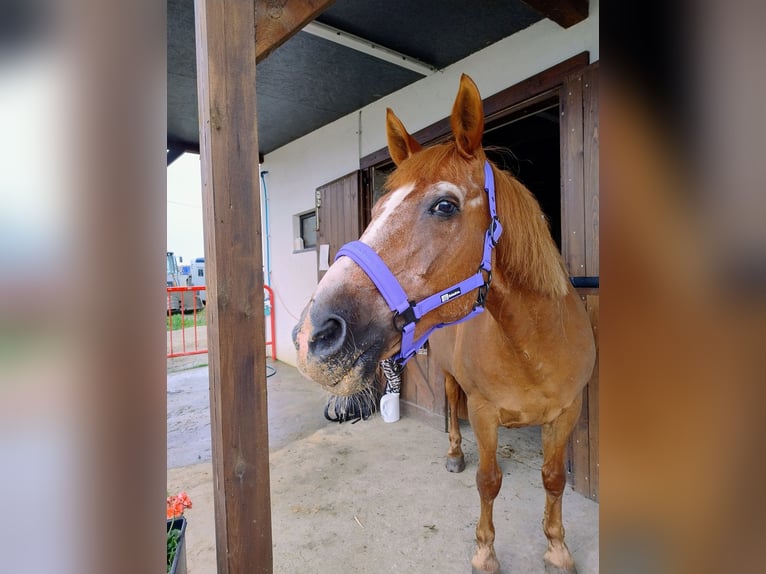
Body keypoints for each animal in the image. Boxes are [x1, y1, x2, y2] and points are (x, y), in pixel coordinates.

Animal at [292, 73, 596, 574]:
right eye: (375, 212)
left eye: (444, 206)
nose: (312, 337)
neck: (535, 345)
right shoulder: (485, 412)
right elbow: (488, 481)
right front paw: (485, 553)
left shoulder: (567, 413)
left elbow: (553, 478)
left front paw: (557, 549)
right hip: (449, 376)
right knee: (452, 407)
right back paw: (454, 452)